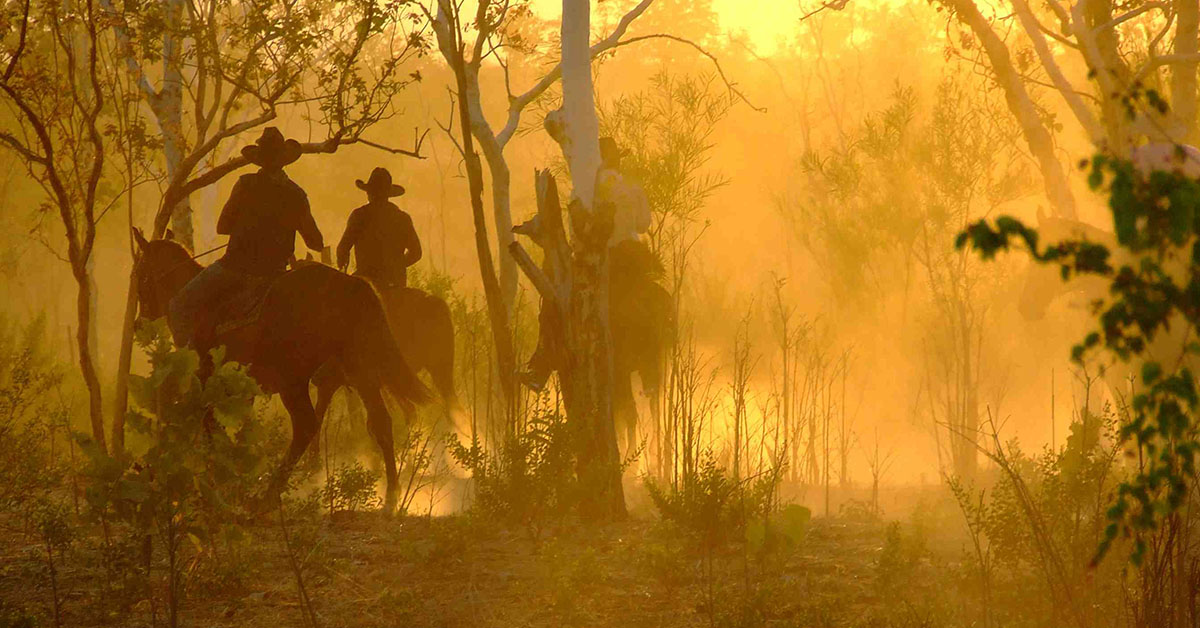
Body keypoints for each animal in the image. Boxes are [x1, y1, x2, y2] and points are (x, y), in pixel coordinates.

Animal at [133, 230, 432, 516]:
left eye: (140, 273)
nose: (139, 323)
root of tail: (347, 285)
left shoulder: (206, 382)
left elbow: (211, 429)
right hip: (359, 371)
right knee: (380, 422)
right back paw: (391, 497)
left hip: (294, 381)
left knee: (306, 426)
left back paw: (267, 498)